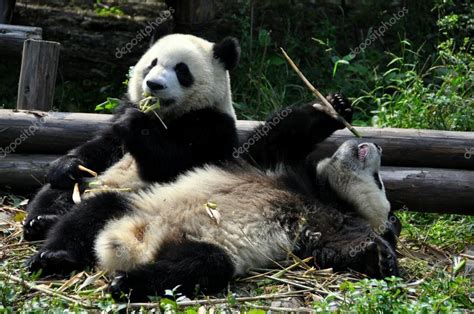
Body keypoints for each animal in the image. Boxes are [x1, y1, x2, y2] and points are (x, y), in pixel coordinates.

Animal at [22, 33, 243, 240]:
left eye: (182, 70)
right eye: (152, 63)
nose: (154, 84)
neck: (164, 115)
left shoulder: (211, 126)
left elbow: (172, 165)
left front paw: (134, 123)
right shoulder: (126, 106)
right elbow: (103, 146)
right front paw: (66, 165)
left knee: (99, 211)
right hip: (87, 183)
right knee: (53, 192)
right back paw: (40, 222)